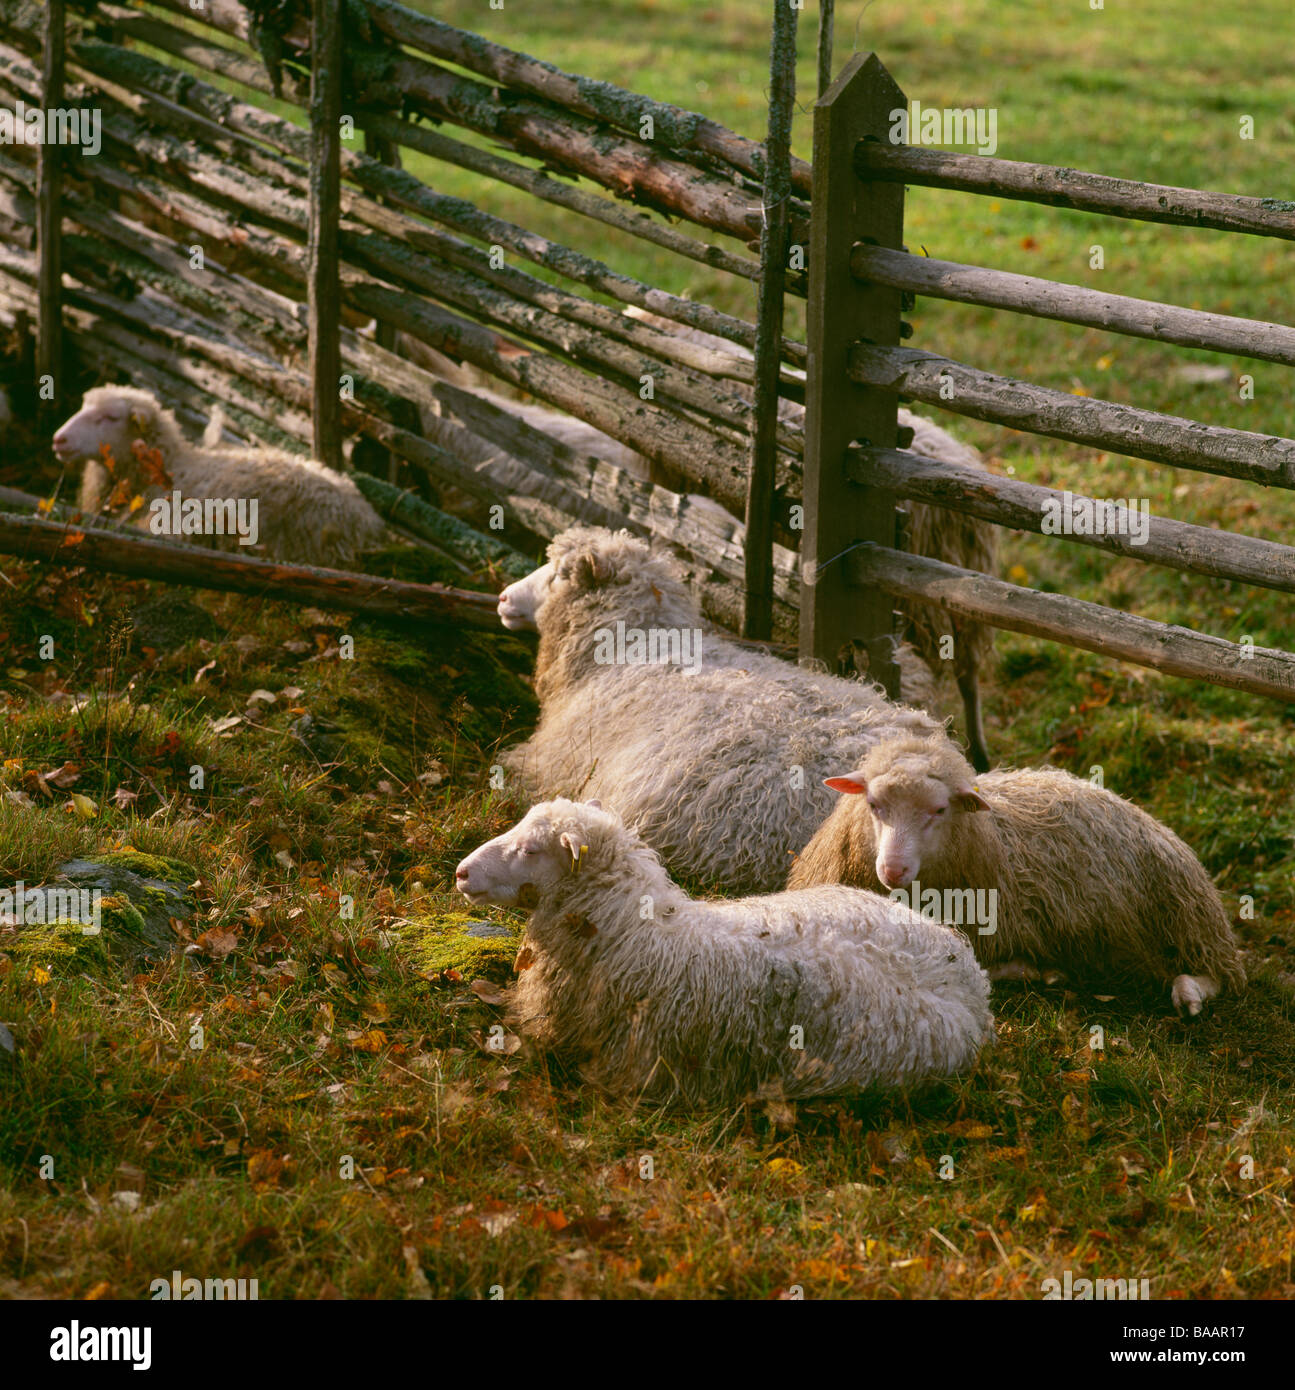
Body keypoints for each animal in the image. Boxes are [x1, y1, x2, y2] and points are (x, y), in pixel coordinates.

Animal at [783, 733, 1250, 1017]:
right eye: (874, 805)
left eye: (939, 810)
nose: (893, 868)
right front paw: (1038, 970)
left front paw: (1028, 969)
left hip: (1185, 913)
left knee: (1223, 975)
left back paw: (1188, 993)